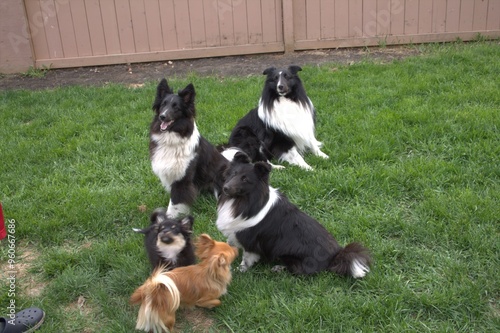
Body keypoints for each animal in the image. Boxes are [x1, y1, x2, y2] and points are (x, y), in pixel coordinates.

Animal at [149, 79, 229, 217]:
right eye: (163, 104)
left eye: (176, 107)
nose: (162, 116)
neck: (172, 139)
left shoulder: (182, 180)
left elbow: (174, 204)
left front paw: (169, 219)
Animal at [216, 152, 372, 276]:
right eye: (233, 174)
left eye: (245, 179)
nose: (225, 188)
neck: (244, 201)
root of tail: (335, 256)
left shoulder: (250, 240)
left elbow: (246, 259)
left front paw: (239, 270)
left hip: (289, 255)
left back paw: (278, 268)